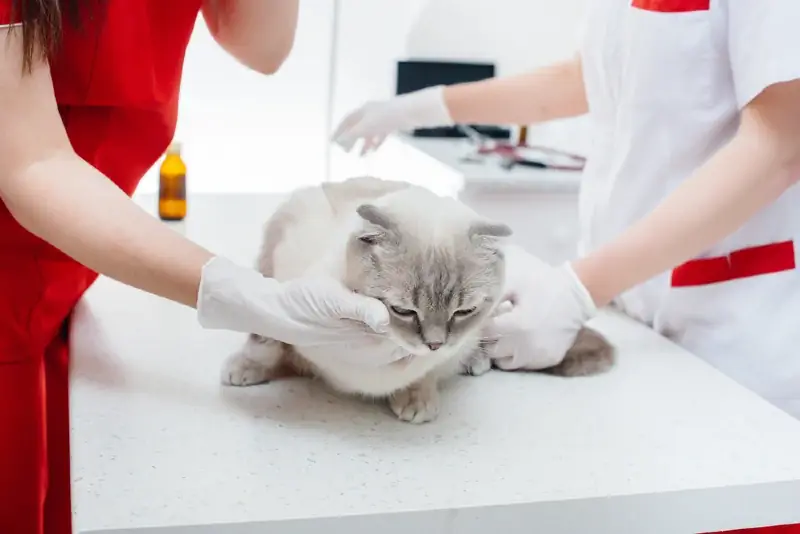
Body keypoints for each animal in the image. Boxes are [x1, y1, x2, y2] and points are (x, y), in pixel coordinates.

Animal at [219, 178, 612, 426]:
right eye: (404, 311)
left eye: (463, 311)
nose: (435, 344)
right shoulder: (275, 269)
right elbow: (267, 338)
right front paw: (247, 365)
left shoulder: (455, 344)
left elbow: (427, 374)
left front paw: (415, 398)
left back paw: (477, 362)